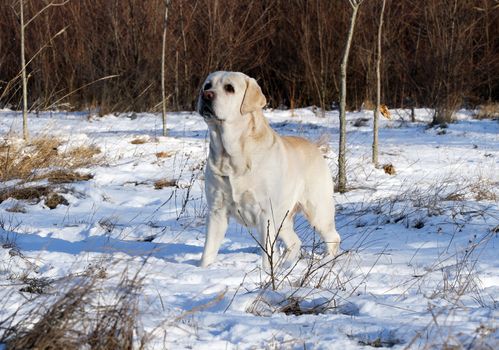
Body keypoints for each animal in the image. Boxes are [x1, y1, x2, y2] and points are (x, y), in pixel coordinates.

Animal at [197, 71, 342, 268]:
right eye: (207, 85)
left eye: (229, 88)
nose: (206, 95)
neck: (231, 155)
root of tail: (315, 146)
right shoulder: (216, 211)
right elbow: (208, 251)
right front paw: (204, 269)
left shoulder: (265, 212)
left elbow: (268, 252)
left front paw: (266, 273)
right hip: (284, 218)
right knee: (295, 241)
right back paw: (287, 265)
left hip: (318, 210)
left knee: (333, 238)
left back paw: (325, 262)